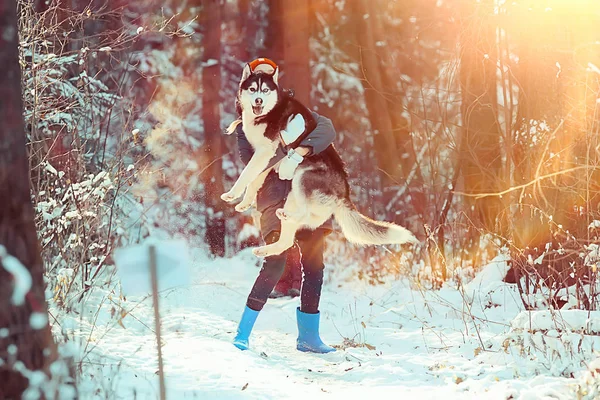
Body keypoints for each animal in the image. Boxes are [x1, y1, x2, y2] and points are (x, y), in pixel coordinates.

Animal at [221, 62, 418, 256]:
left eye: (265, 90)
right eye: (253, 89)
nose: (258, 101)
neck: (267, 113)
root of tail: (345, 192)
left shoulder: (266, 152)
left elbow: (246, 175)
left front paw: (232, 193)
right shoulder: (267, 159)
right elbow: (254, 181)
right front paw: (244, 202)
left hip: (303, 178)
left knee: (305, 214)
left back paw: (286, 216)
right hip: (294, 195)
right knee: (290, 238)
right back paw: (268, 246)